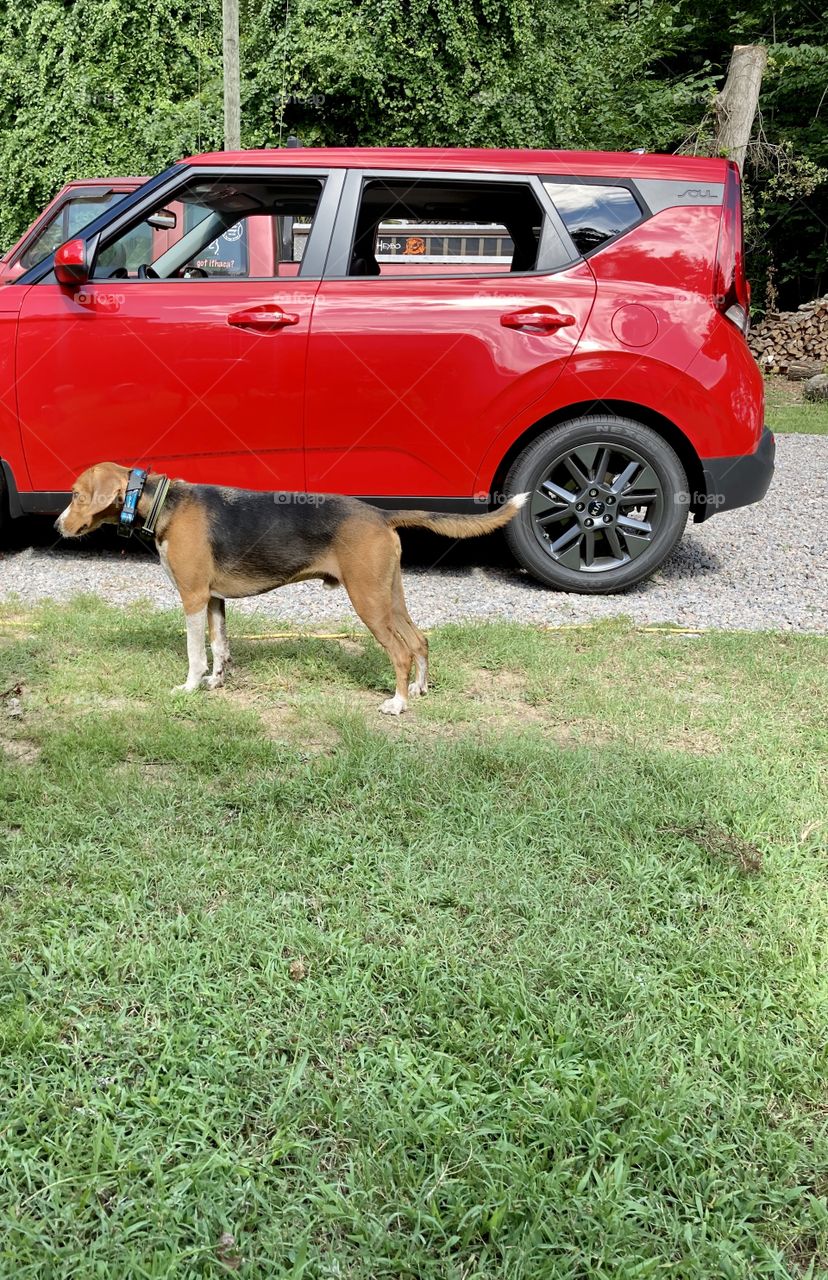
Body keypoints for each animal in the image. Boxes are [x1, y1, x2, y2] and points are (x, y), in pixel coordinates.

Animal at [55, 465, 527, 716]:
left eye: (76, 496)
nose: (56, 525)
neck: (160, 500)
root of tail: (379, 513)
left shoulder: (192, 597)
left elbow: (194, 652)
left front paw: (189, 687)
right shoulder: (214, 599)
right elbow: (219, 645)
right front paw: (216, 681)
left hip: (369, 603)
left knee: (401, 652)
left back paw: (398, 703)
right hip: (389, 596)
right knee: (420, 641)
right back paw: (420, 690)